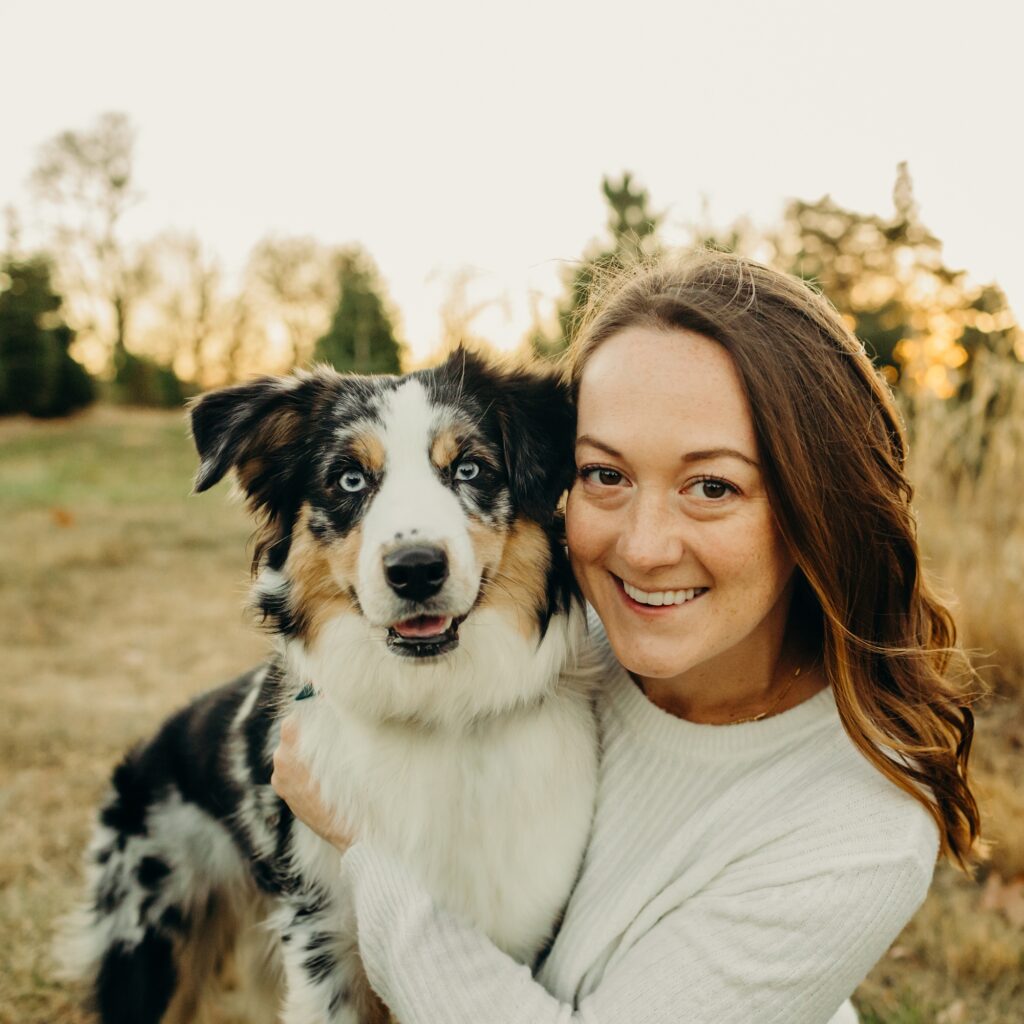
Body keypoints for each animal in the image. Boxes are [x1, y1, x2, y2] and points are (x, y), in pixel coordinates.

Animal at [59, 352, 598, 1024]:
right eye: (349, 480)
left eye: (470, 468)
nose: (416, 569)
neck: (433, 710)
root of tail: (150, 748)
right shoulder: (323, 937)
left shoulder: (518, 922)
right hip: (150, 944)